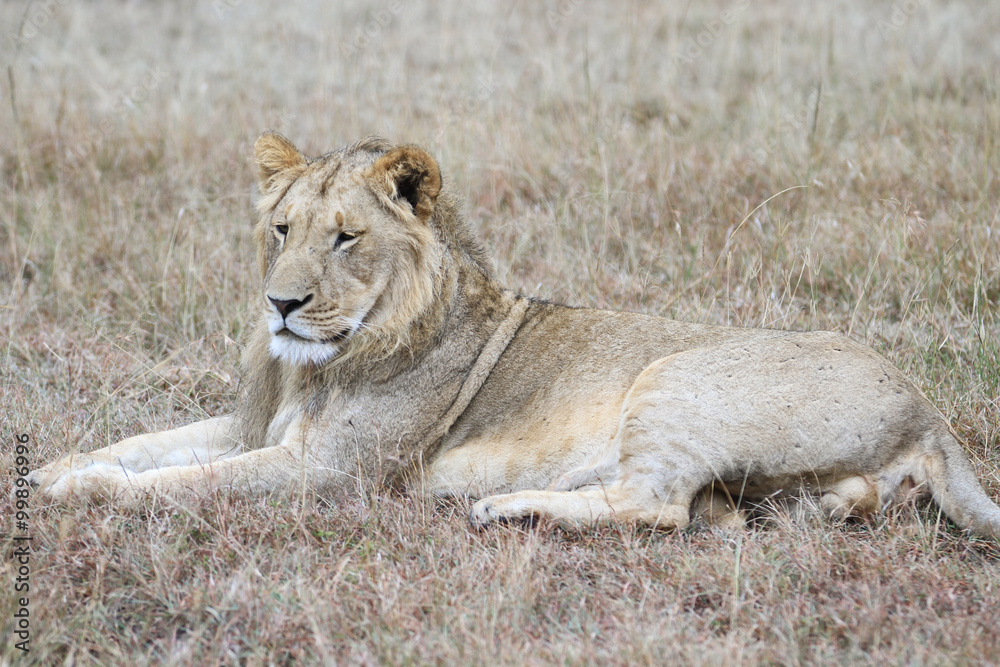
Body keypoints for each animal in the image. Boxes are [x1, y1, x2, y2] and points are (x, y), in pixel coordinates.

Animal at [27, 133, 1000, 541]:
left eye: (345, 237)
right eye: (282, 228)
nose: (282, 305)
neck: (321, 367)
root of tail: (926, 406)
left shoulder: (330, 471)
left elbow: (179, 483)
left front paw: (77, 494)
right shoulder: (253, 428)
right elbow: (148, 445)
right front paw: (53, 468)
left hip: (673, 378)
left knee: (658, 506)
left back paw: (507, 508)